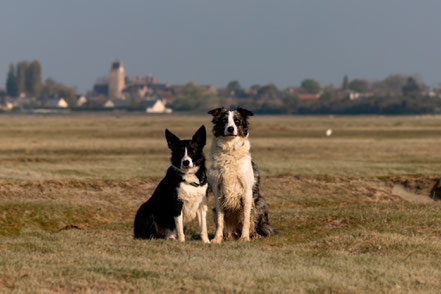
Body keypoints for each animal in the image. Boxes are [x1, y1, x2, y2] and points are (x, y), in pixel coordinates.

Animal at [207, 106, 276, 243]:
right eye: (224, 120)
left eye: (237, 121)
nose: (230, 128)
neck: (229, 149)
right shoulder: (217, 191)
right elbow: (220, 221)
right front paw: (217, 239)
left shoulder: (247, 190)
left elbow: (246, 218)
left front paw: (245, 237)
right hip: (213, 211)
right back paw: (228, 236)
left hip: (260, 204)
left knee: (256, 224)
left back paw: (254, 235)